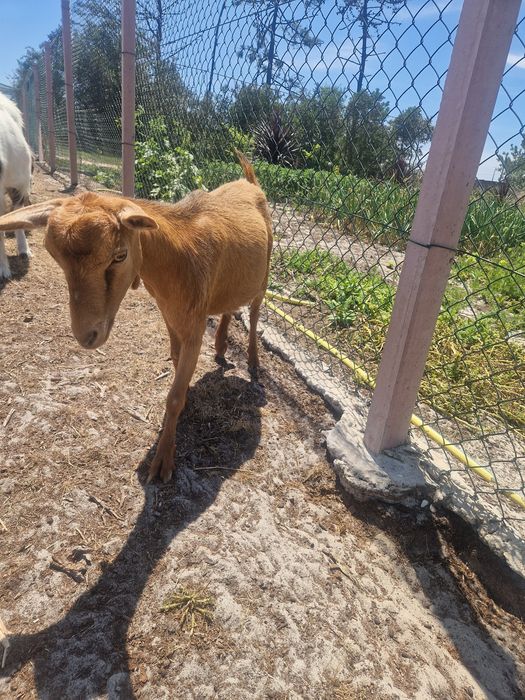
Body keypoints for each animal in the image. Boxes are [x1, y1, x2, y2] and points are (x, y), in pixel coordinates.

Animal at [0, 151, 272, 483]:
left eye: (119, 255)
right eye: (56, 257)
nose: (87, 336)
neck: (177, 258)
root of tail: (250, 182)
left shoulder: (194, 327)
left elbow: (173, 396)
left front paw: (163, 461)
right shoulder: (171, 316)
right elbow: (175, 363)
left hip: (264, 275)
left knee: (255, 313)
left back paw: (253, 361)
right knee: (231, 306)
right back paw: (221, 346)